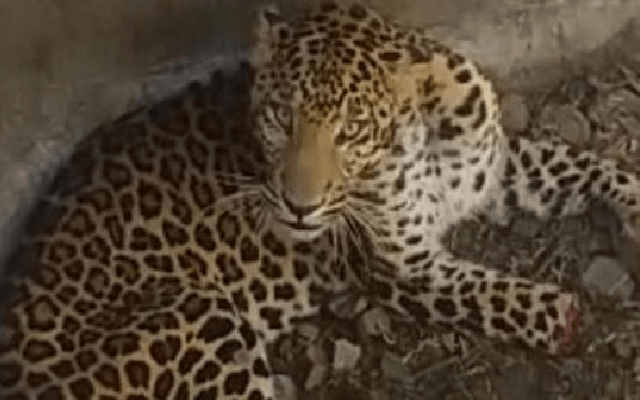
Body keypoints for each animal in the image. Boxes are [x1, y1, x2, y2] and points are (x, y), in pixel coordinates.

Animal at [2, 1, 640, 400]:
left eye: (350, 130)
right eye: (280, 118)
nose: (298, 206)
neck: (427, 133)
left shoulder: (489, 172)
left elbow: (579, 165)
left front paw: (629, 202)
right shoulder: (399, 269)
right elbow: (488, 292)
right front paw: (559, 315)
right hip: (197, 314)